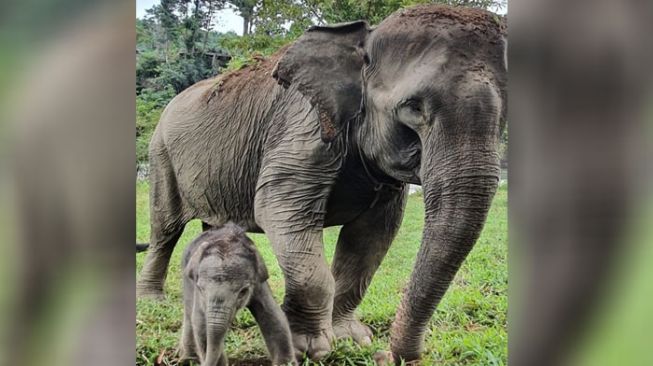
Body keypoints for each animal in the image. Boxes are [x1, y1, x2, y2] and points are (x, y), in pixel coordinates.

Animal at [176, 223, 292, 366]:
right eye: (201, 289)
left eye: (243, 292)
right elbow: (200, 323)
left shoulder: (258, 282)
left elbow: (273, 316)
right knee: (188, 313)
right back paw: (187, 359)